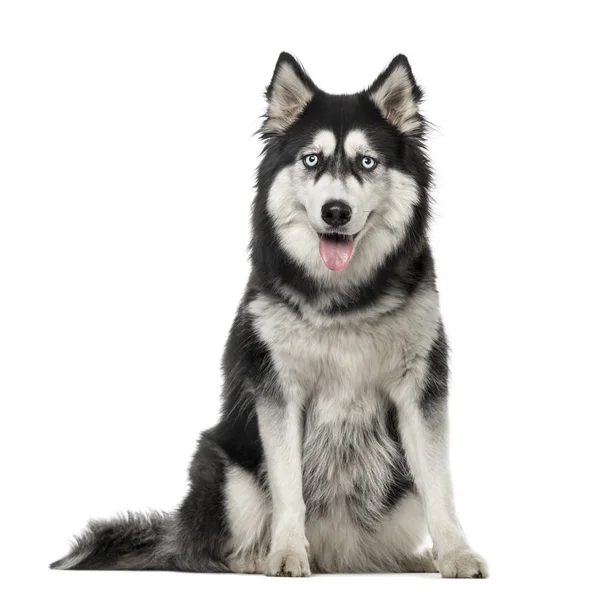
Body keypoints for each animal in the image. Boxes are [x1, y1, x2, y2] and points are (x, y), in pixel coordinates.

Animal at [51, 54, 490, 580]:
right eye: (311, 160)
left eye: (367, 162)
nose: (336, 211)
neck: (345, 301)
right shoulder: (279, 392)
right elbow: (288, 487)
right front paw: (285, 554)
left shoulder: (420, 391)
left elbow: (439, 485)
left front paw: (456, 554)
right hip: (225, 467)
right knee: (219, 550)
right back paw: (256, 558)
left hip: (396, 500)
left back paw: (409, 560)